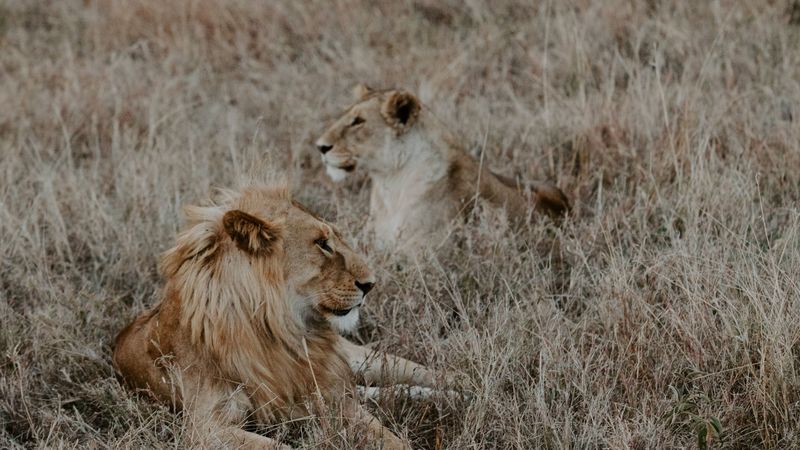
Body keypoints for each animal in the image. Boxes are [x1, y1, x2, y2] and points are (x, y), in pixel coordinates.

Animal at [112, 184, 450, 449]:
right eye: (322, 244)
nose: (371, 284)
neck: (276, 331)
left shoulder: (335, 398)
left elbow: (391, 438)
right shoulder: (207, 428)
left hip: (358, 358)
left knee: (414, 373)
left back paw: (453, 389)